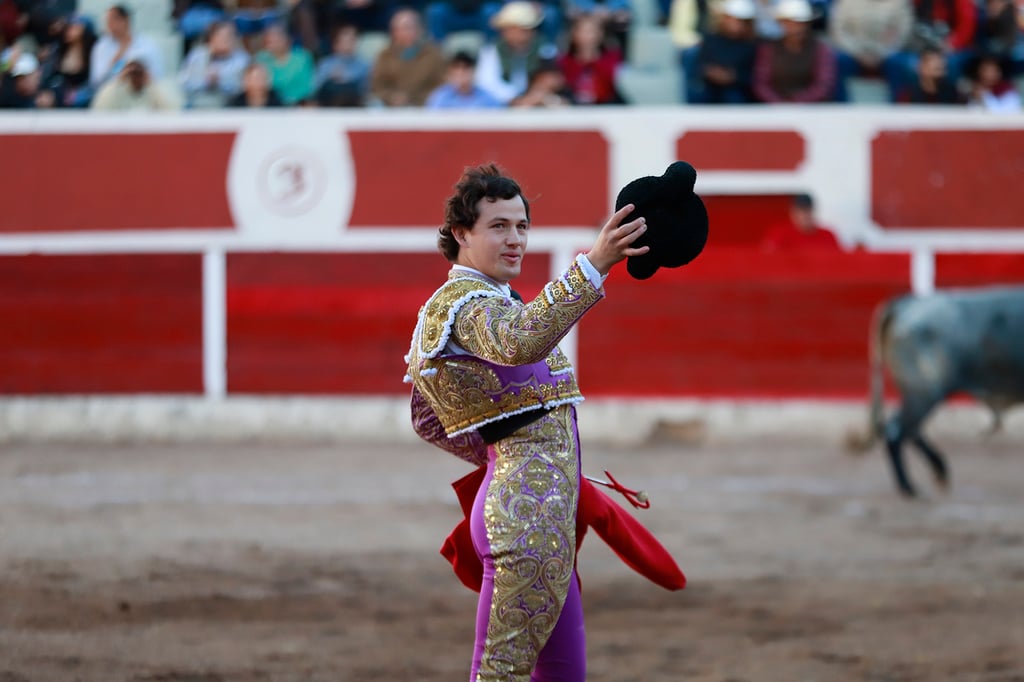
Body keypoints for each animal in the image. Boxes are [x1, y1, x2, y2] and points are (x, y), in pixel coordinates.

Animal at [856, 282, 1024, 493]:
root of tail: (906, 303)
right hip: (924, 390)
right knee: (899, 429)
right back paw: (909, 487)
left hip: (922, 393)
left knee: (910, 429)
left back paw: (937, 471)